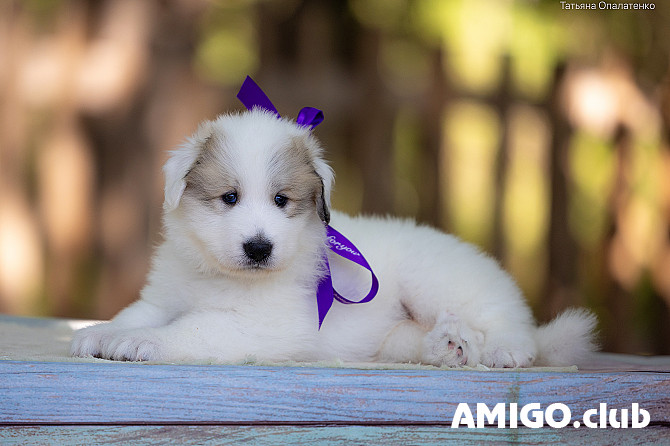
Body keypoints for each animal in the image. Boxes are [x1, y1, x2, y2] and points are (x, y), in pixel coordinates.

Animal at [72, 108, 600, 366]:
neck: (220, 276)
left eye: (282, 200)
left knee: (504, 319)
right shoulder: (166, 296)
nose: (259, 247)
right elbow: (139, 313)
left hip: (437, 281)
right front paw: (101, 333)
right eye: (229, 197)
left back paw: (504, 349)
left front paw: (138, 343)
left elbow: (191, 329)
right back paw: (447, 347)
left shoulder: (262, 324)